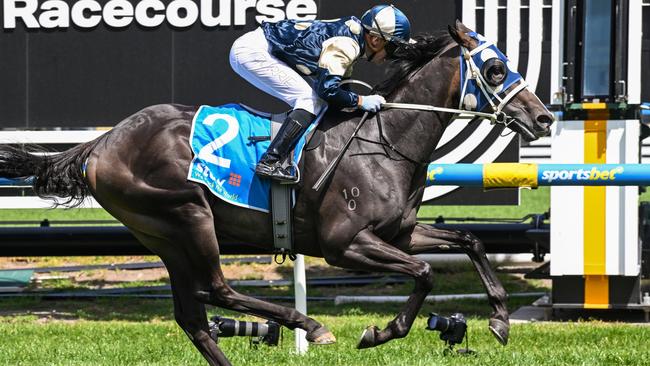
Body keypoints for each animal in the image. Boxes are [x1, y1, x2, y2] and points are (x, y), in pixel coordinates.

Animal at [0, 21, 548, 364]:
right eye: (496, 69)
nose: (542, 118)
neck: (384, 141)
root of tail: (103, 141)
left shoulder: (400, 234)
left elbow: (470, 242)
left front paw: (500, 320)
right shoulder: (345, 245)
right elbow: (424, 274)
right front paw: (380, 332)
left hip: (162, 236)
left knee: (193, 315)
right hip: (187, 216)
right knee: (215, 289)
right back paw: (309, 324)